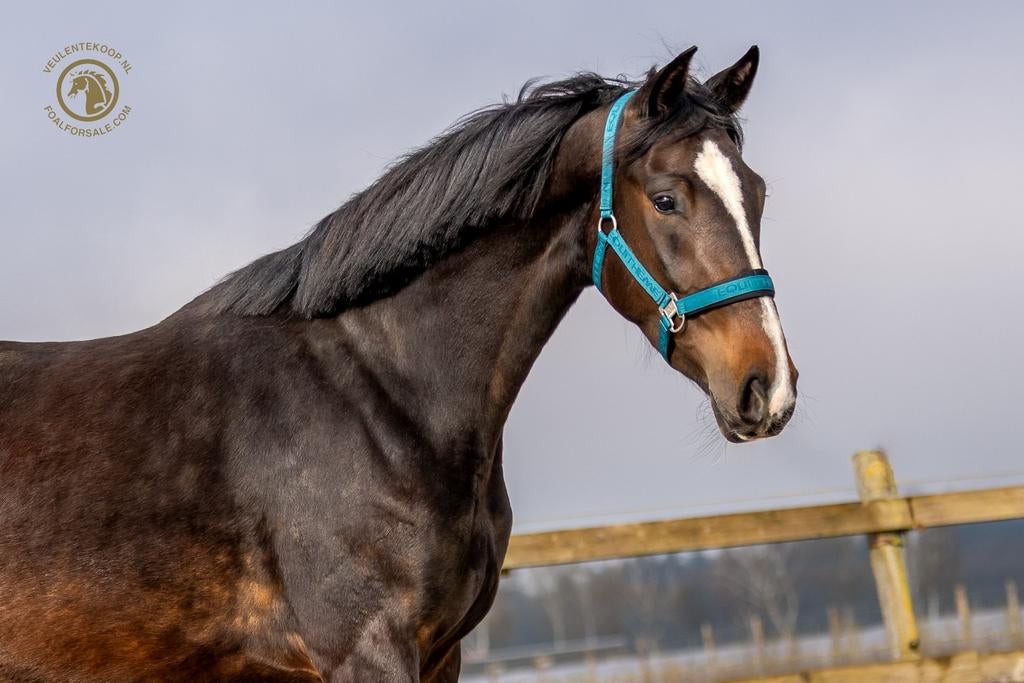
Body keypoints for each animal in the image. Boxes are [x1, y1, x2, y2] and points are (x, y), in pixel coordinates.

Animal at [0, 45, 796, 681]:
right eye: (665, 200)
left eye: (757, 194)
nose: (770, 388)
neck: (379, 395)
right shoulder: (366, 650)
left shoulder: (443, 652)